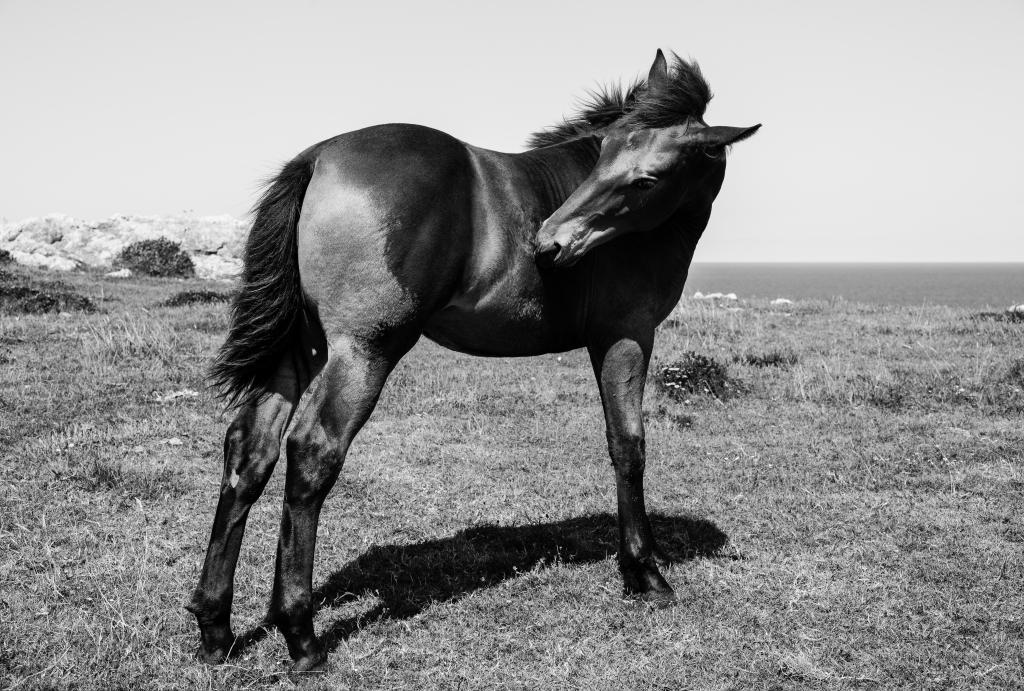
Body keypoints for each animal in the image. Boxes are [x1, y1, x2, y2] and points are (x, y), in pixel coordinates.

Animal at [187, 49, 759, 671]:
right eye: (604, 152)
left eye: (645, 175)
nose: (549, 243)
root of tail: (316, 158)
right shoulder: (627, 335)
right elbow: (627, 447)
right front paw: (645, 574)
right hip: (363, 351)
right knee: (312, 453)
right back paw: (301, 633)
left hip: (300, 352)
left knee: (250, 452)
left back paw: (216, 626)